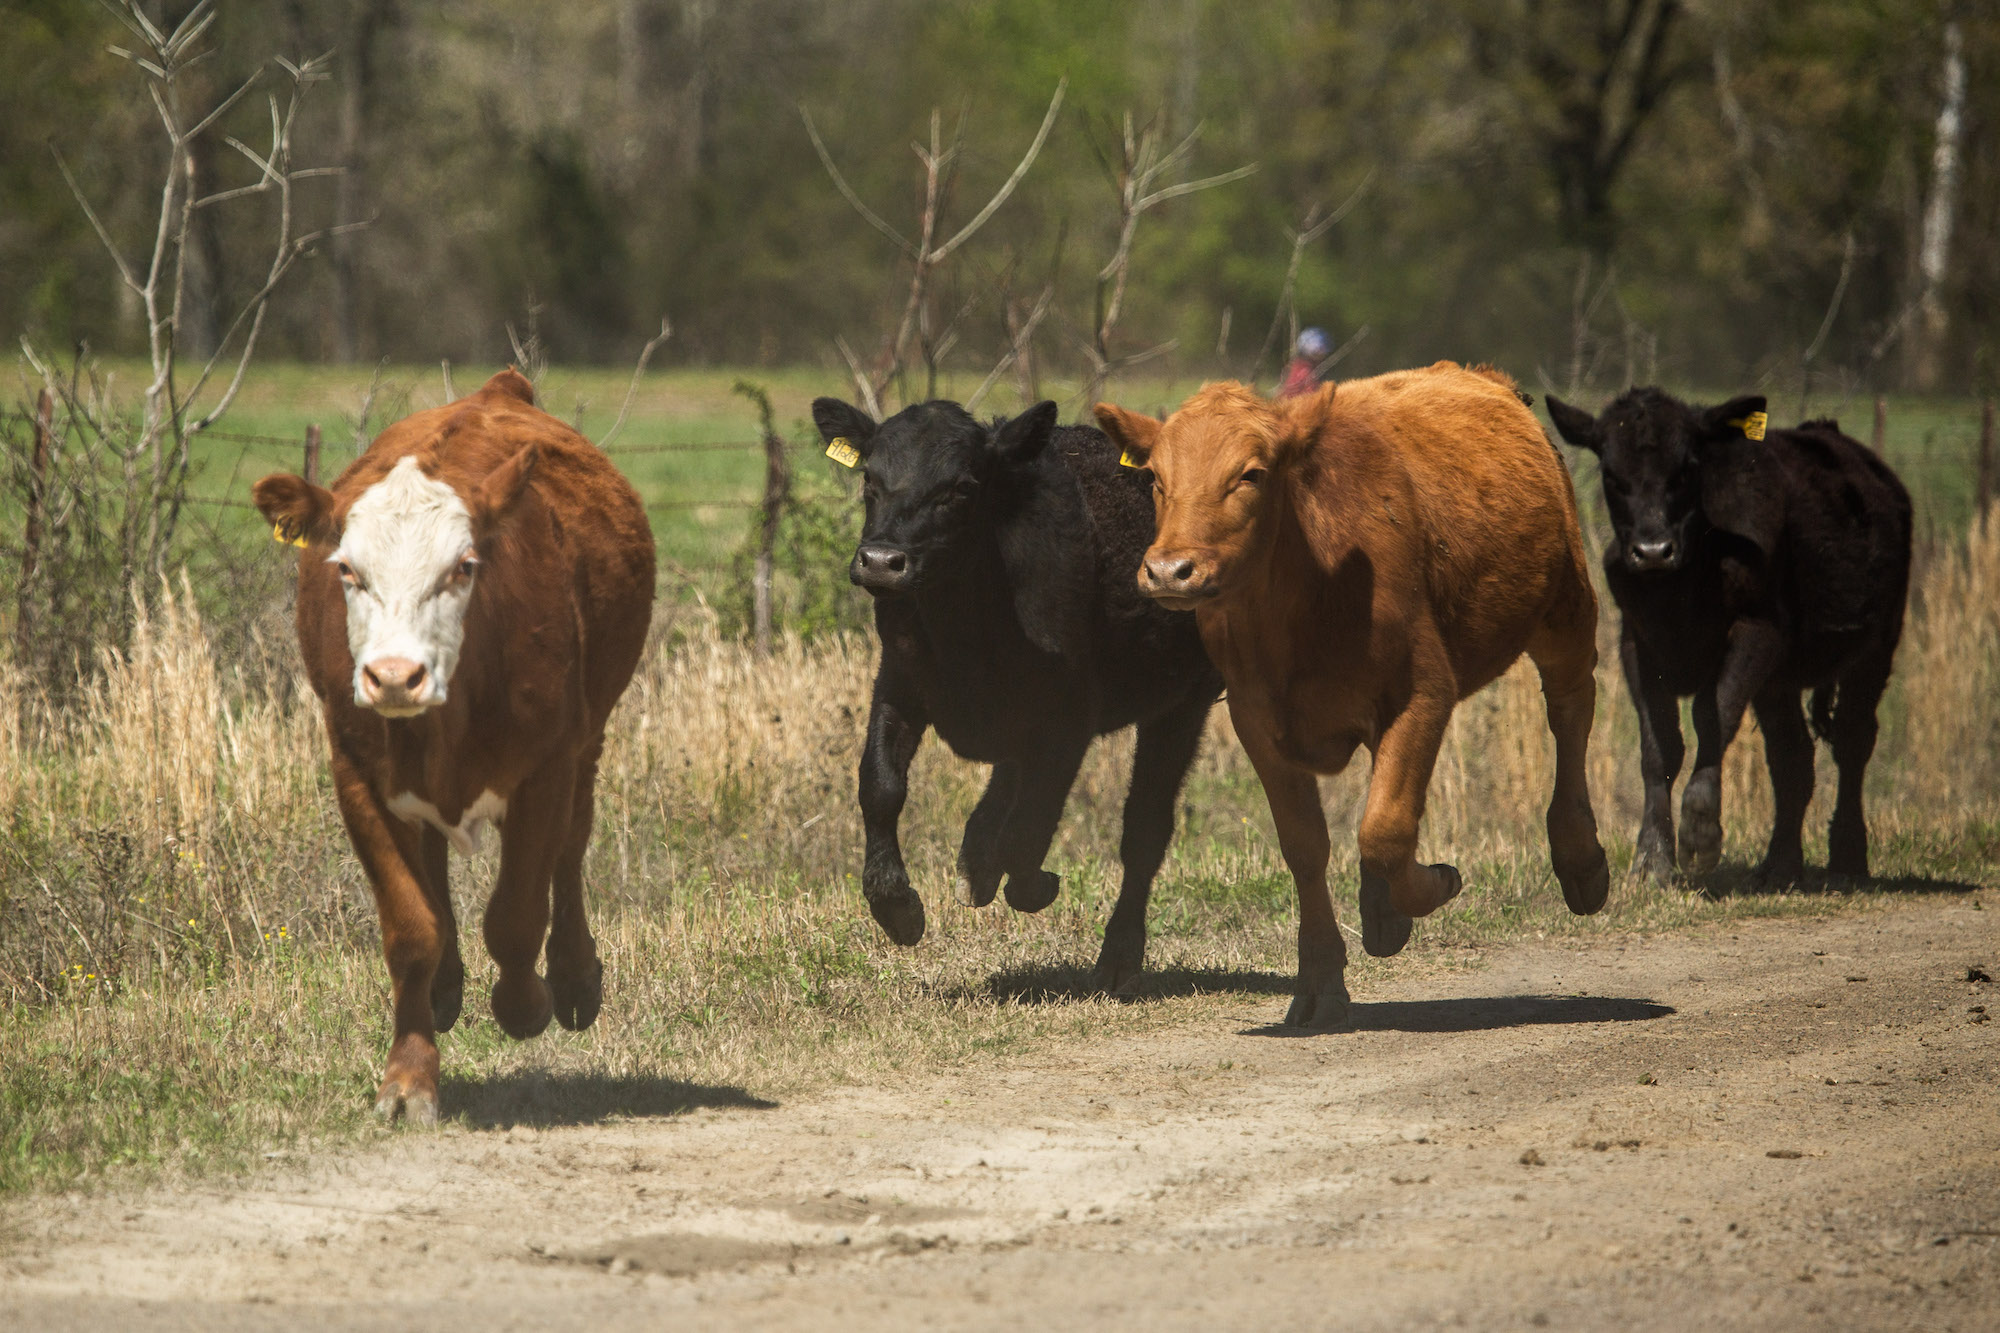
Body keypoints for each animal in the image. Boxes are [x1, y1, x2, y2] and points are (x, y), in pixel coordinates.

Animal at [252, 369, 654, 1124]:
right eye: (347, 570)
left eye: (464, 566)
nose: (393, 675)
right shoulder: (355, 773)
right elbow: (411, 929)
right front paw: (408, 1077)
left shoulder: (548, 765)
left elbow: (517, 915)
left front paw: (525, 1003)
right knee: (436, 864)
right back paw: (445, 986)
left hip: (589, 739)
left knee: (571, 847)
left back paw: (573, 976)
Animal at [811, 397, 1223, 992]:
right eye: (870, 478)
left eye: (962, 487)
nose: (882, 562)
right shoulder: (899, 681)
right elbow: (881, 786)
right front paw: (896, 907)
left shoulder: (1068, 721)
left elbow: (1033, 821)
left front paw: (1032, 883)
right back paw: (978, 859)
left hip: (1184, 701)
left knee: (1144, 826)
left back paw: (1119, 955)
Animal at [1095, 365, 1610, 1029]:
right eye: (1156, 478)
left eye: (1251, 474)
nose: (1169, 570)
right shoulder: (1257, 719)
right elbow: (1308, 845)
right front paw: (1321, 979)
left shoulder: (1423, 693)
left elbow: (1385, 830)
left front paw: (1429, 889)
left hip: (1566, 608)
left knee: (1571, 707)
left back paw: (1581, 862)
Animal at [1545, 389, 1912, 885]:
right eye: (1611, 474)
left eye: (1686, 469)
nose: (1653, 551)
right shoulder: (1637, 645)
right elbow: (1659, 746)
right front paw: (1652, 859)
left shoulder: (1757, 632)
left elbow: (1712, 715)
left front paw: (1700, 832)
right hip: (1780, 680)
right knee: (1793, 756)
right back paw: (1780, 865)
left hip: (1876, 645)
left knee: (1853, 740)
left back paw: (1848, 860)